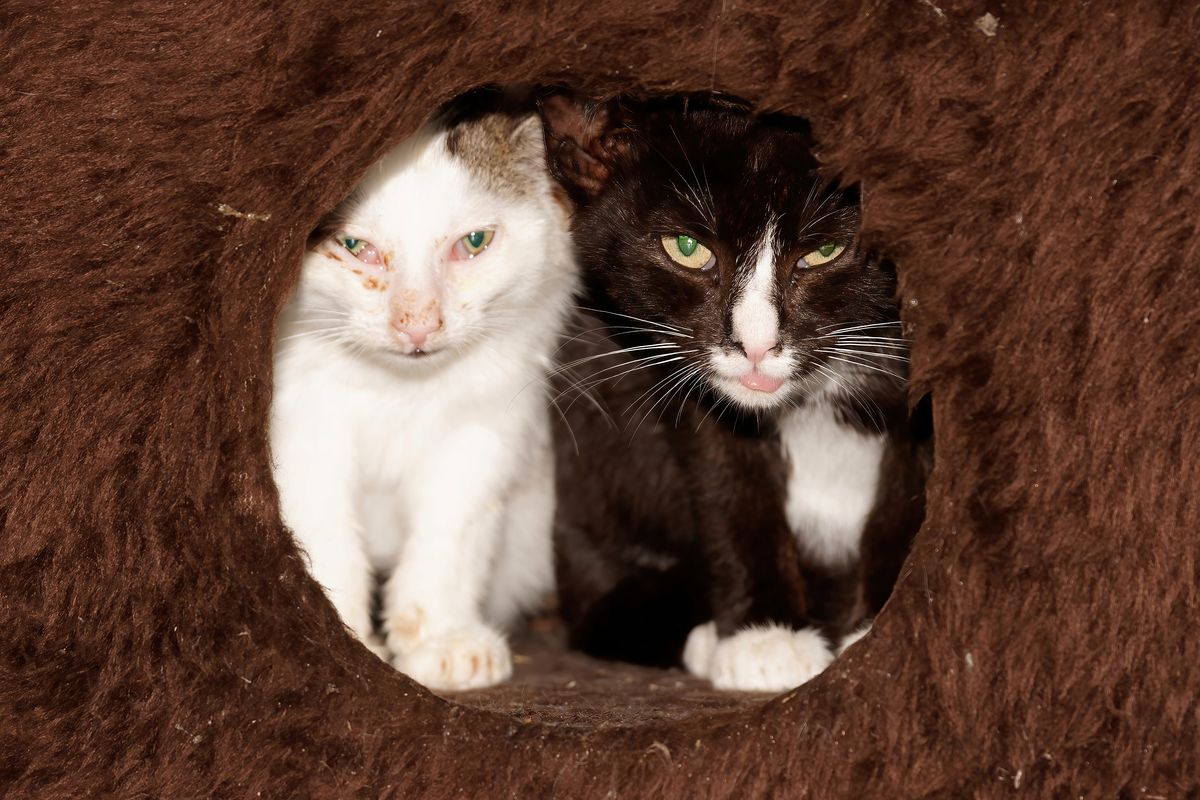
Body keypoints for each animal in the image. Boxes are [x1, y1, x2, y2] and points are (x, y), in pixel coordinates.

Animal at [270, 109, 578, 690]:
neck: (399, 390)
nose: (418, 324)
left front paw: (442, 639)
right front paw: (341, 640)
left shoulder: (486, 425)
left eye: (475, 241)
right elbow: (320, 524)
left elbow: (452, 529)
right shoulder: (300, 424)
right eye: (354, 247)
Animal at [544, 94, 926, 690]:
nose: (756, 345)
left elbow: (908, 494)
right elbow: (729, 481)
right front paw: (764, 637)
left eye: (826, 251)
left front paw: (880, 630)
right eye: (687, 248)